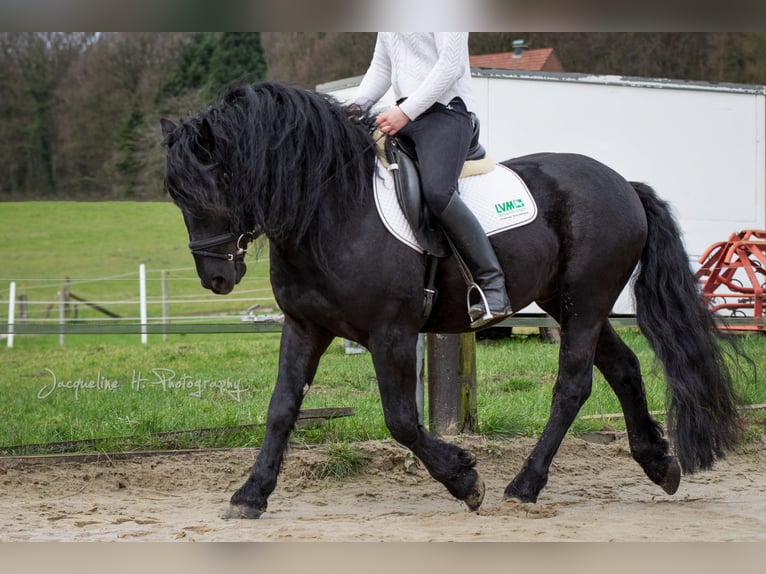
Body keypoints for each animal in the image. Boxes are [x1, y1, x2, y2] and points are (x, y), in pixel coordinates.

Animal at [162, 80, 744, 516]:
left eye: (212, 187)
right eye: (176, 196)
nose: (216, 278)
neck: (333, 210)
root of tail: (624, 184)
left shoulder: (391, 333)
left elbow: (401, 419)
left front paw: (465, 481)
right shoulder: (305, 326)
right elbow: (282, 408)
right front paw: (250, 494)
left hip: (586, 300)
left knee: (573, 386)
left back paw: (525, 485)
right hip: (572, 303)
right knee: (622, 368)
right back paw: (659, 464)